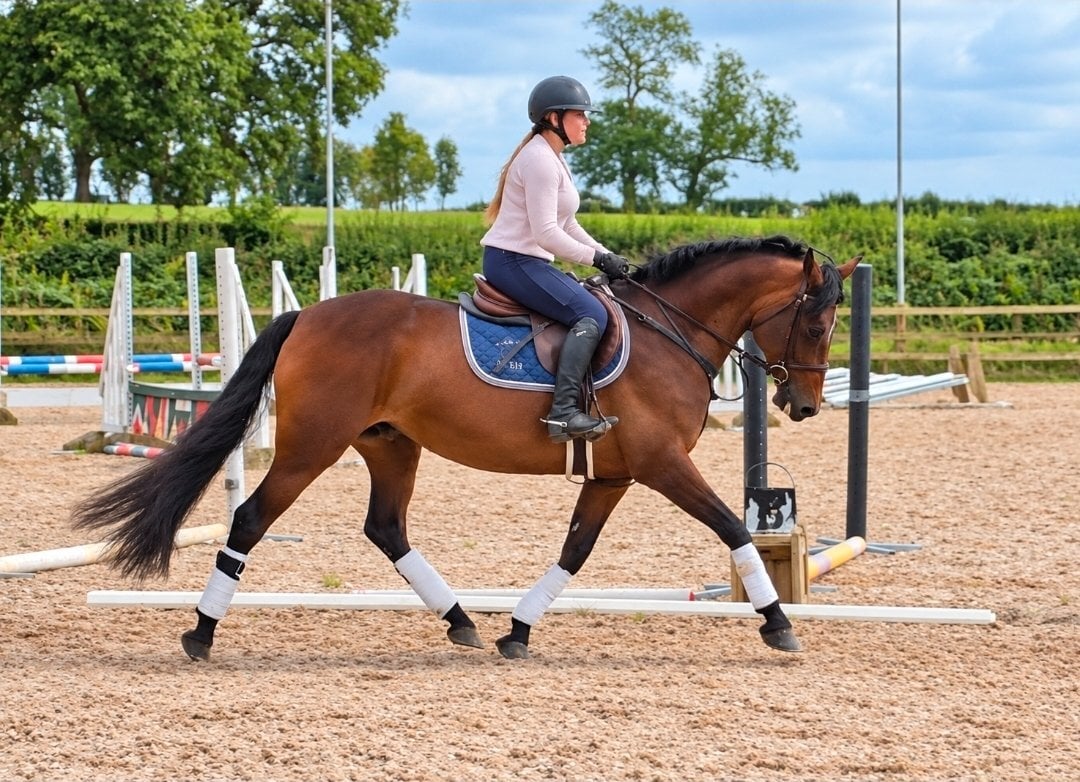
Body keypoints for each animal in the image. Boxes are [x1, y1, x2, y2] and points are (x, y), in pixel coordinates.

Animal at [72, 234, 859, 661]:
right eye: (817, 325)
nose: (804, 405)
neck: (671, 332)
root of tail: (308, 316)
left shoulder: (614, 475)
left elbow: (575, 551)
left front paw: (518, 630)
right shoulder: (663, 464)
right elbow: (734, 527)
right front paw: (778, 623)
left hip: (390, 445)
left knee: (386, 529)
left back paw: (461, 622)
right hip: (310, 447)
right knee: (250, 520)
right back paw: (202, 632)